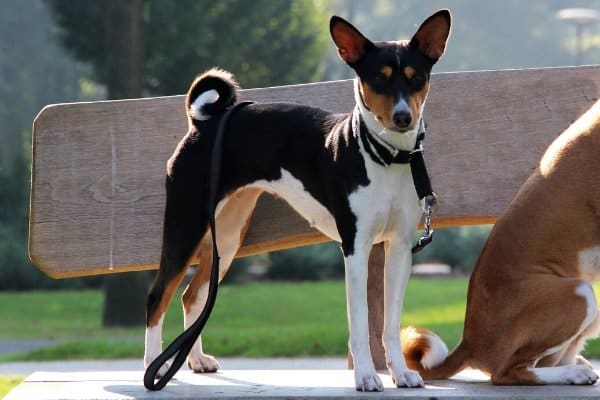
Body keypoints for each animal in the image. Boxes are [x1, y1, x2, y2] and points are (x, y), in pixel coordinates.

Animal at [145, 10, 450, 392]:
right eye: (378, 78)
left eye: (416, 78)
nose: (402, 117)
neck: (385, 157)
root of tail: (204, 123)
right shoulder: (356, 247)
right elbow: (360, 323)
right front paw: (366, 376)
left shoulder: (398, 248)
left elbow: (390, 325)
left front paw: (401, 373)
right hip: (185, 225)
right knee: (158, 297)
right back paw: (152, 367)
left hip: (227, 236)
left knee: (194, 295)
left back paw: (196, 360)